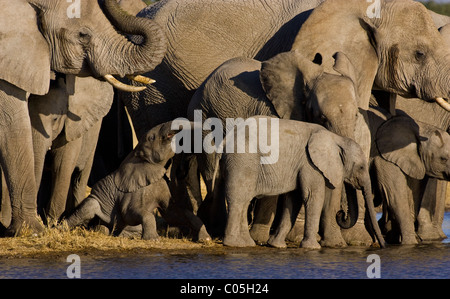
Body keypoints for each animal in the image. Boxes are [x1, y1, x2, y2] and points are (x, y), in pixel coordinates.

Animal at [64, 121, 210, 241]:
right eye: (152, 138)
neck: (138, 155)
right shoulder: (132, 190)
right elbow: (131, 213)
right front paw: (153, 240)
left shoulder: (161, 185)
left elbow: (172, 213)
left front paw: (205, 239)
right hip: (95, 201)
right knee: (88, 207)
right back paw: (62, 228)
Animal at [216, 116, 384, 250]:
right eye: (361, 167)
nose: (340, 213)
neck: (335, 138)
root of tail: (225, 140)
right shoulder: (310, 163)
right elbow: (313, 197)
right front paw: (312, 248)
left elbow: (294, 200)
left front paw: (277, 245)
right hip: (242, 160)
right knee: (239, 199)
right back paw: (234, 244)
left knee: (244, 200)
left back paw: (246, 244)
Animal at [370, 108, 450, 246]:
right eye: (443, 159)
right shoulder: (385, 157)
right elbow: (395, 195)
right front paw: (410, 243)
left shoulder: (418, 163)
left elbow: (414, 196)